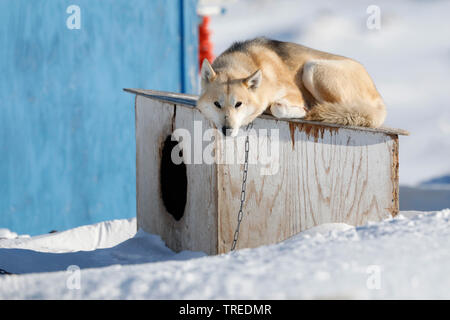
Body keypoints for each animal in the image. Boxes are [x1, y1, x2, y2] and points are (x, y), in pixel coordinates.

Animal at [197, 38, 386, 137]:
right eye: (217, 104)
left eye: (238, 104)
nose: (227, 130)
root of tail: (380, 100)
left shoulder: (294, 93)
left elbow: (278, 108)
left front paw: (303, 111)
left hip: (312, 68)